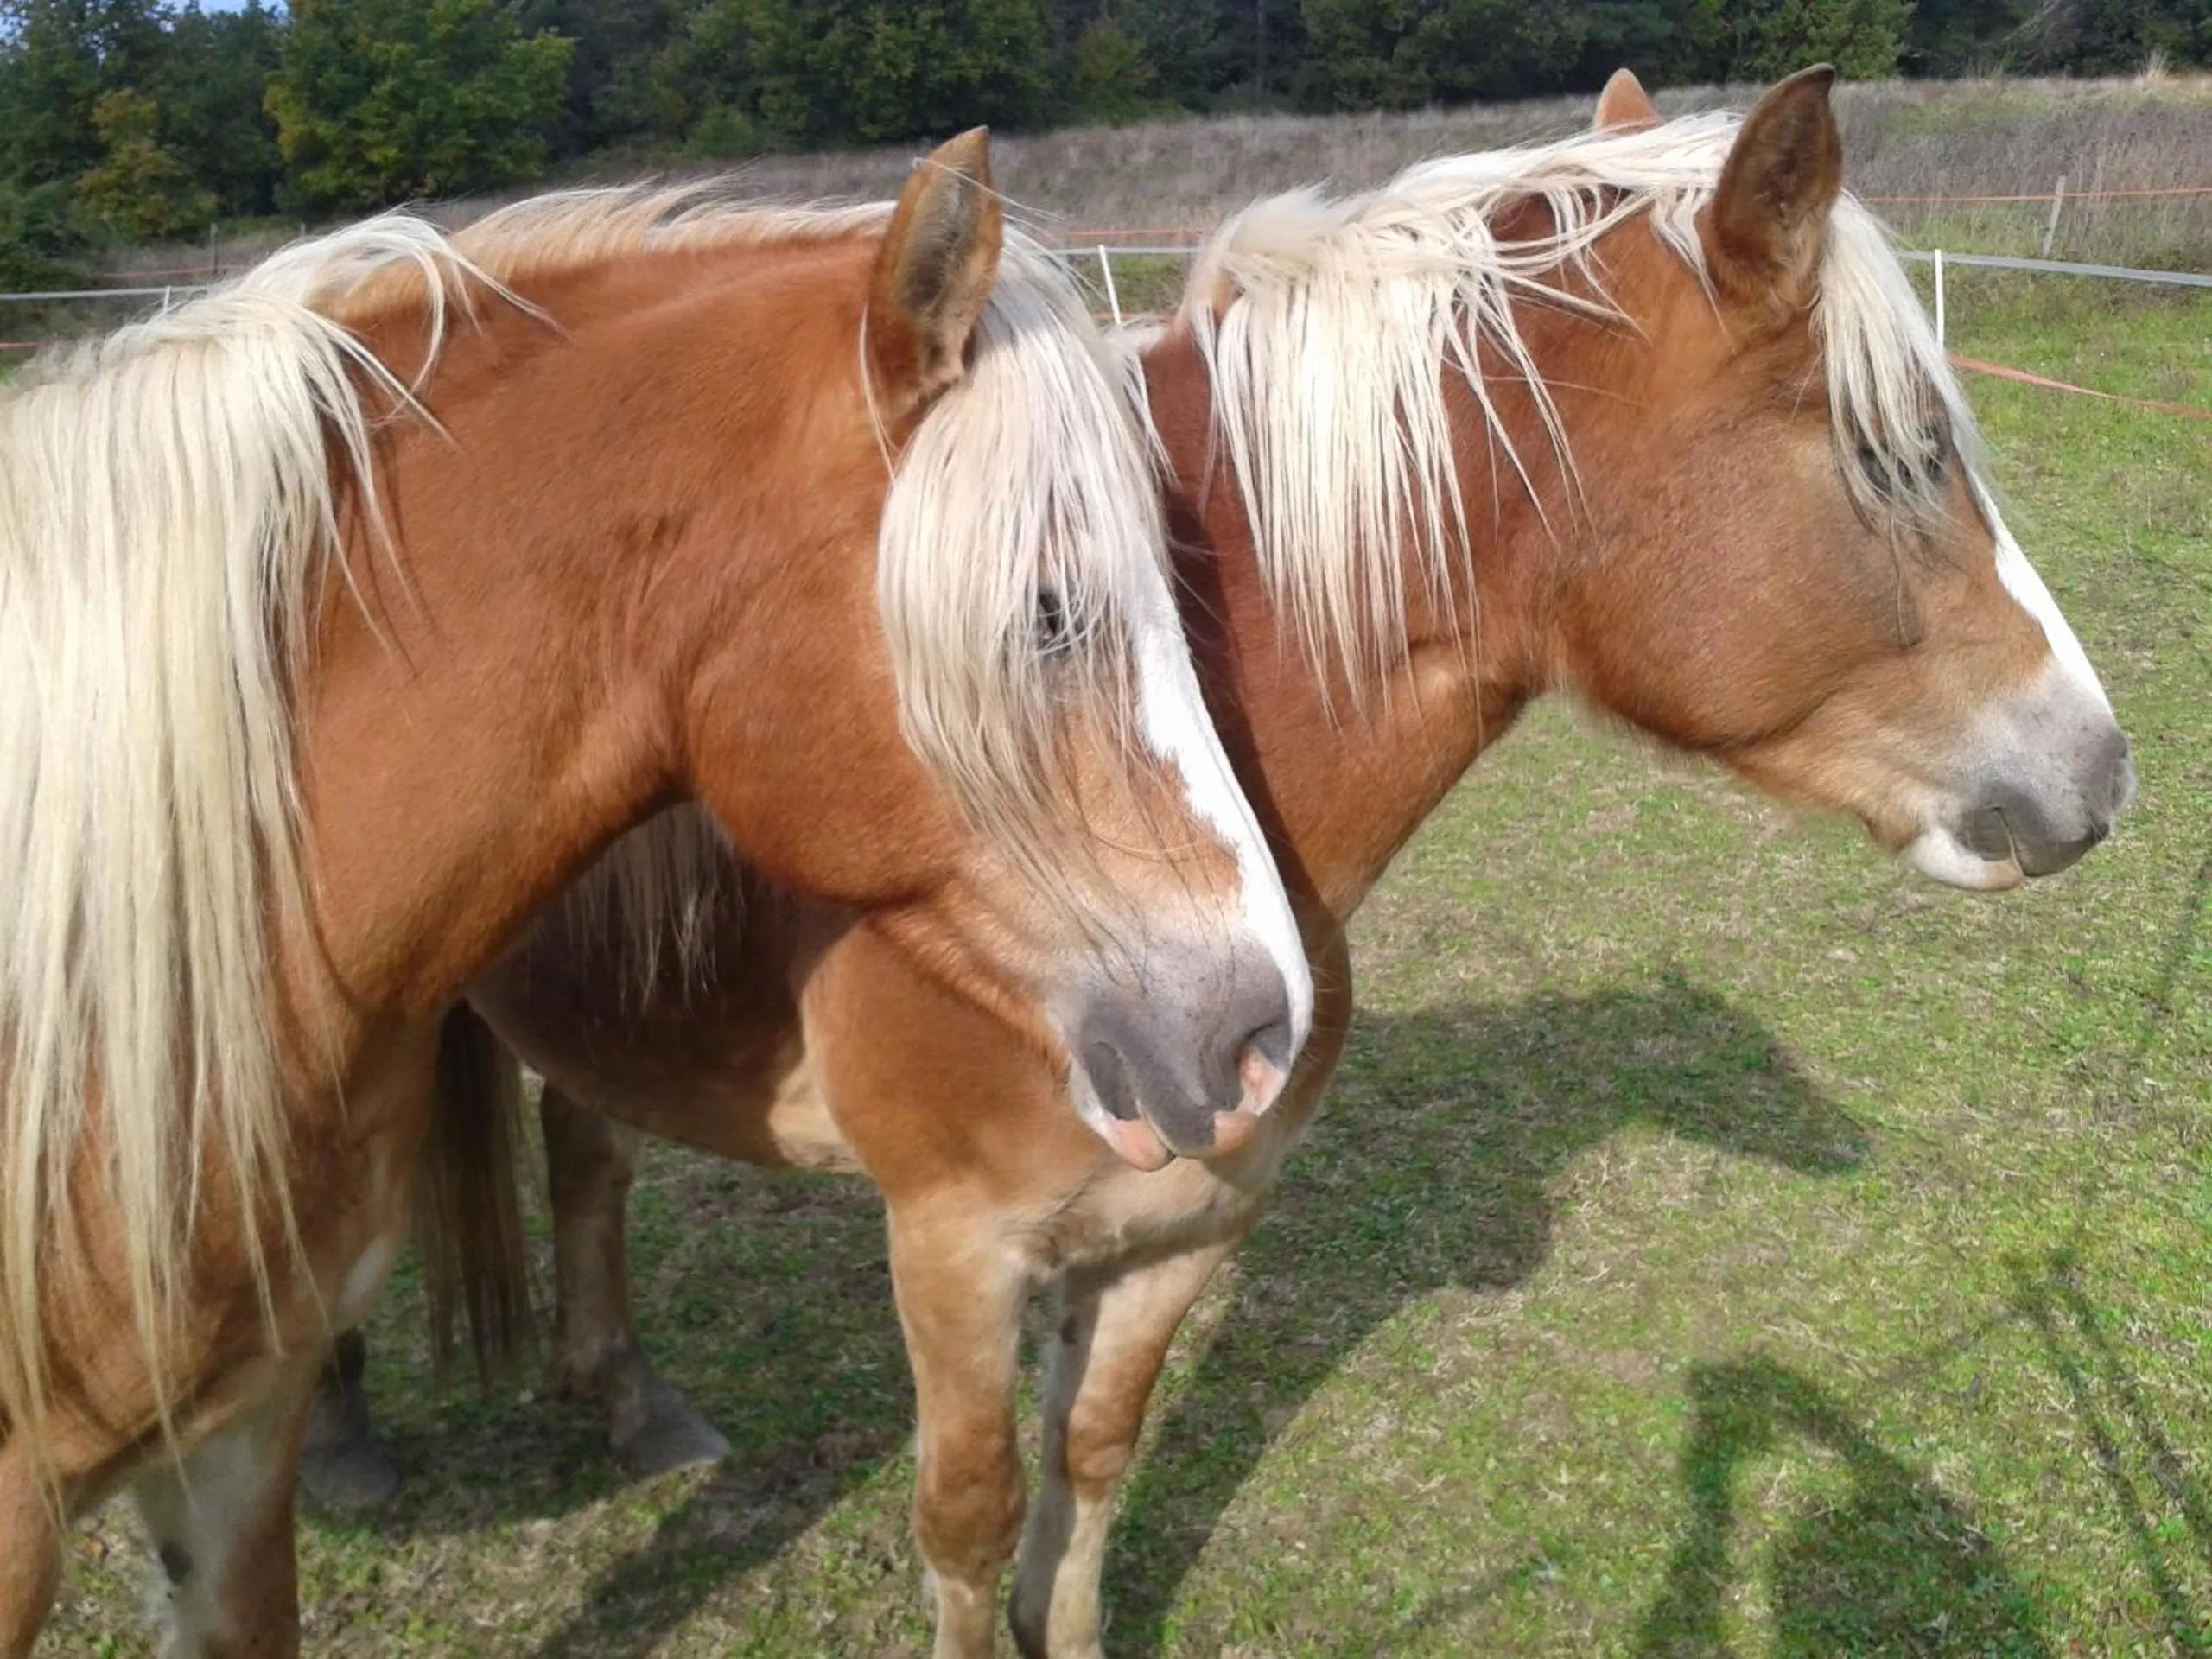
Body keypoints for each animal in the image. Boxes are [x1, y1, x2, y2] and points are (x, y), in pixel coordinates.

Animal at [319, 69, 2137, 1659]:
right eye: (1894, 453)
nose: (2103, 773)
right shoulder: (954, 1252)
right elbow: (969, 1523)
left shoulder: (1182, 1231)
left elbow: (1091, 1474)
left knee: (586, 1152)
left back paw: (626, 1401)